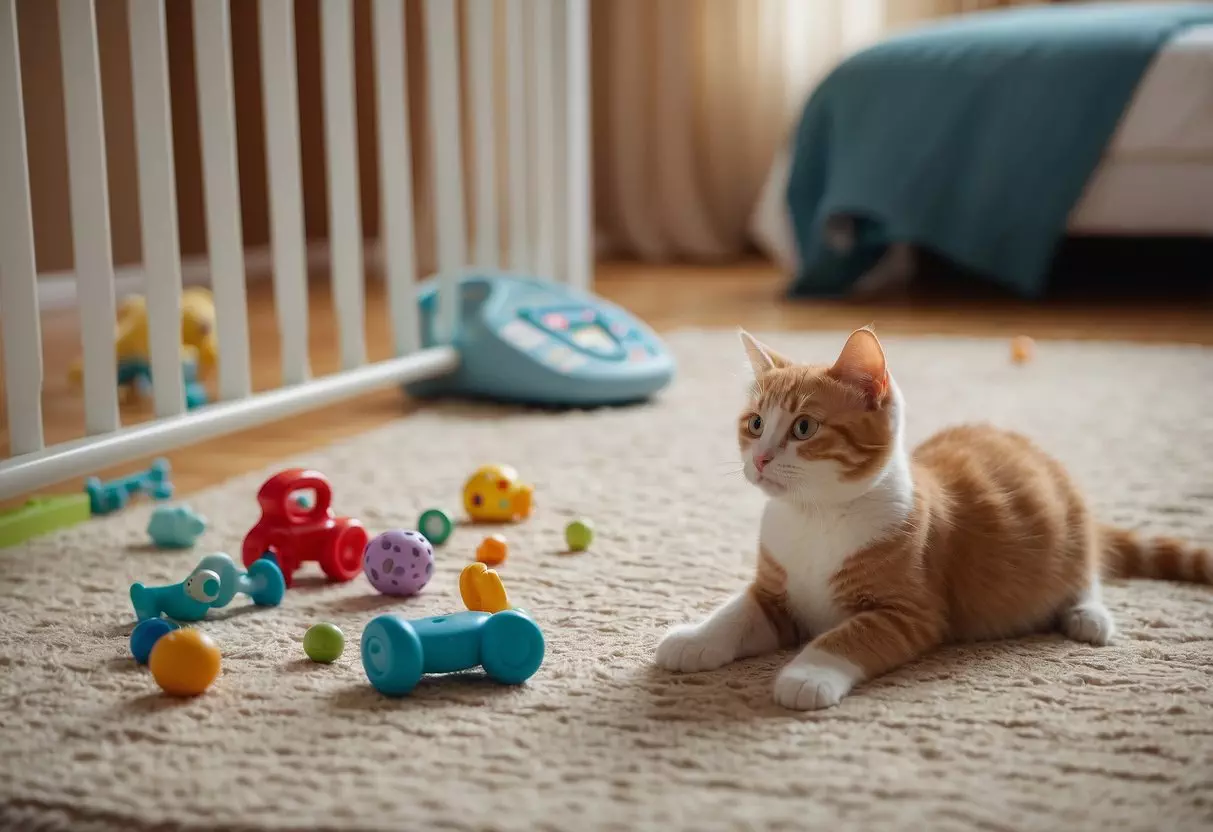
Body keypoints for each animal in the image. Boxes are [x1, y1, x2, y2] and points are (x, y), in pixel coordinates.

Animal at [659, 327, 1208, 708]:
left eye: (804, 427)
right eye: (755, 424)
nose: (760, 459)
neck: (815, 518)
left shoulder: (911, 611)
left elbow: (848, 635)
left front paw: (806, 674)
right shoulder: (776, 591)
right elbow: (737, 613)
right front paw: (695, 638)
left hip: (1067, 535)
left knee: (1087, 571)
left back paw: (1088, 613)